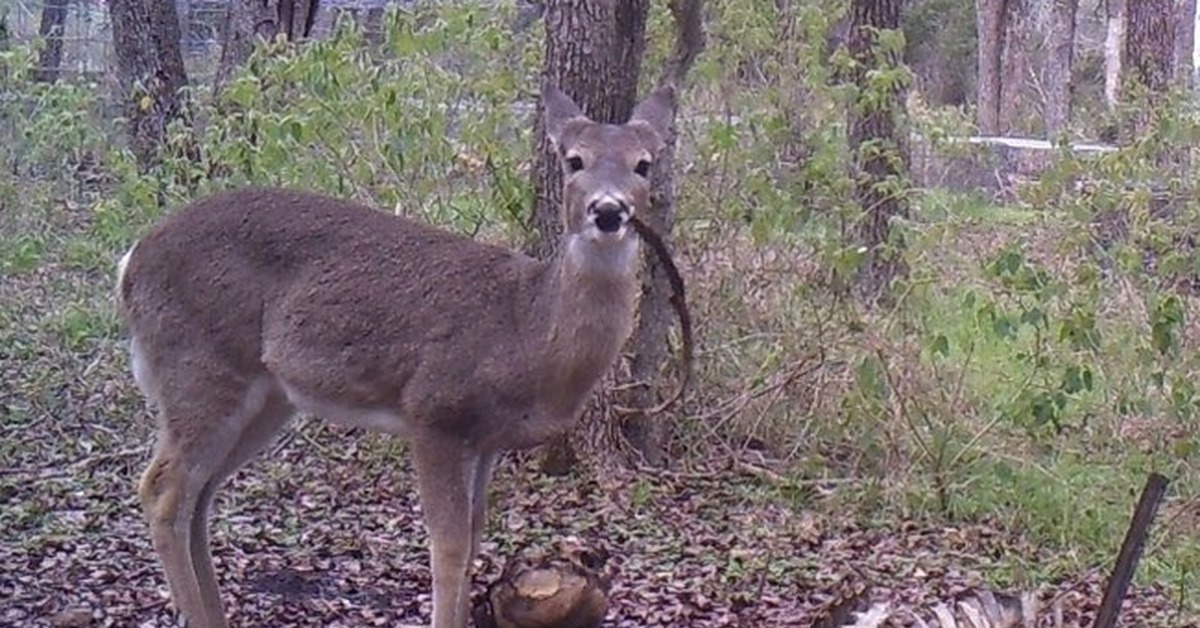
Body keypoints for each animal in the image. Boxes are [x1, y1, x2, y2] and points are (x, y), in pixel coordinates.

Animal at [114, 84, 676, 628]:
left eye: (644, 164)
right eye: (574, 160)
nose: (609, 211)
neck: (525, 332)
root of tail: (130, 260)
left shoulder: (487, 441)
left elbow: (474, 540)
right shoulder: (434, 413)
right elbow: (449, 547)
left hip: (268, 397)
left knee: (200, 496)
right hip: (199, 366)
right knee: (162, 489)